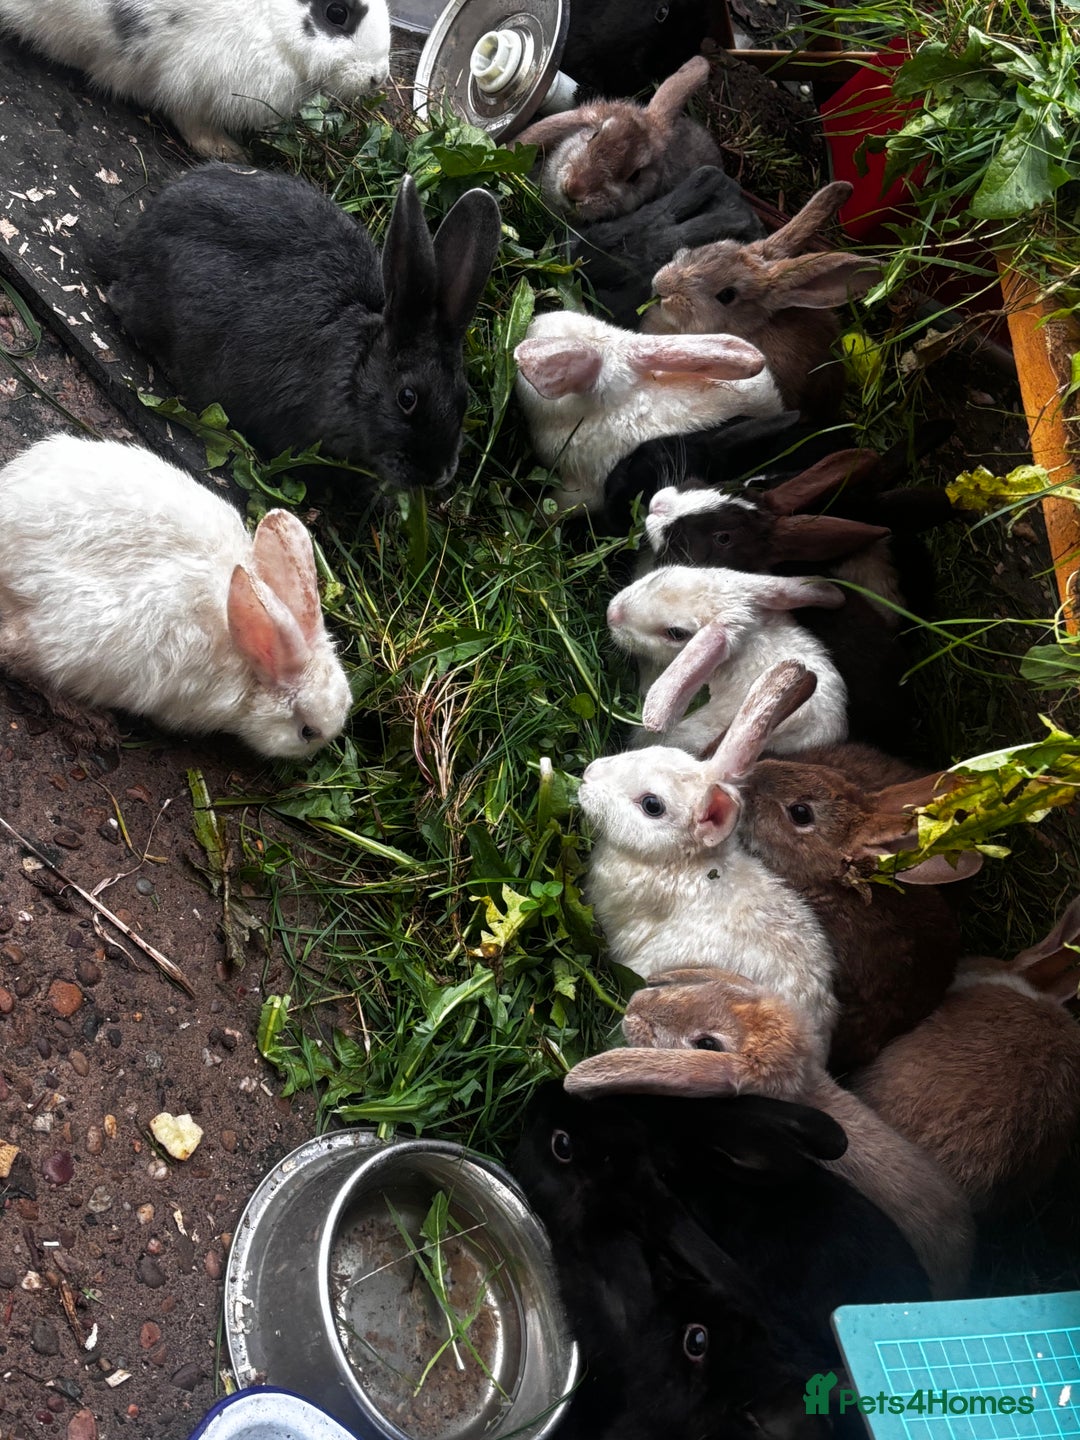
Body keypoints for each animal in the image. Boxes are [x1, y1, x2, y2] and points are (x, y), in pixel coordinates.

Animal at [0, 0, 390, 161]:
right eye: (336, 13)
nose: (378, 78)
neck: (269, 19)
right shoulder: (193, 78)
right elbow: (190, 119)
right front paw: (226, 152)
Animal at [0, 434, 350, 760]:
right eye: (308, 732)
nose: (316, 751)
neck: (251, 668)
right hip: (72, 644)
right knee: (15, 654)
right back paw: (87, 719)